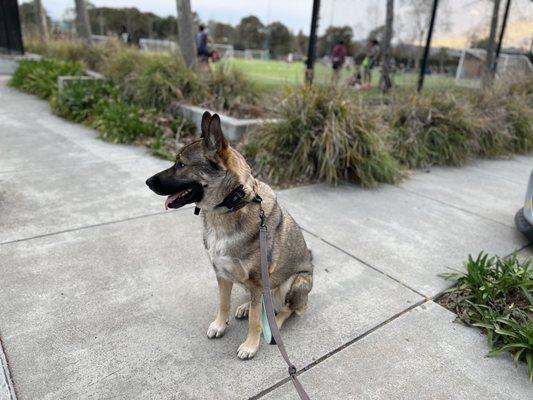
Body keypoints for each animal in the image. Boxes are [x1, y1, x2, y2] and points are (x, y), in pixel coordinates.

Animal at [145, 112, 312, 360]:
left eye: (181, 164)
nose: (147, 182)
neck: (232, 204)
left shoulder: (257, 280)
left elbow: (256, 321)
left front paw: (250, 345)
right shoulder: (222, 274)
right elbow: (223, 303)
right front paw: (219, 325)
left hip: (297, 282)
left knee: (284, 309)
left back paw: (274, 325)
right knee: (260, 304)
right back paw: (245, 307)